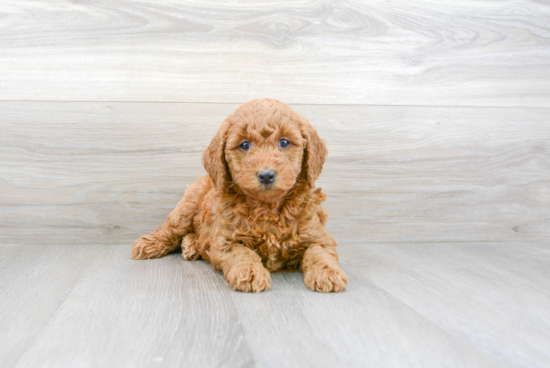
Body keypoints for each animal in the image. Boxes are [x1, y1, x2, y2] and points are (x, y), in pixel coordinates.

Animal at [132, 98, 348, 294]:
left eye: (284, 142)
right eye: (245, 145)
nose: (266, 175)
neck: (267, 207)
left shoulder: (317, 235)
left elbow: (319, 252)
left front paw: (328, 273)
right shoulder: (226, 241)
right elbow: (242, 252)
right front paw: (249, 273)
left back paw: (192, 245)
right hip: (188, 205)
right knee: (171, 229)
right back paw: (148, 244)